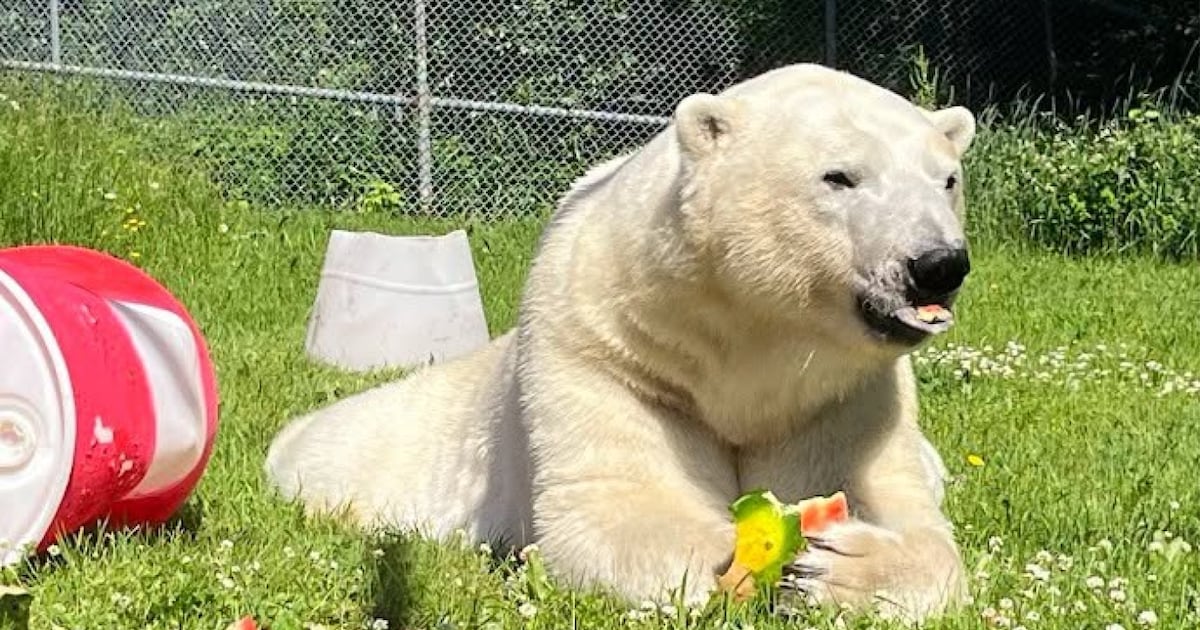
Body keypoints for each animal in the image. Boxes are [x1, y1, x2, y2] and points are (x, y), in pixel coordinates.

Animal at [265, 62, 977, 622]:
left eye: (947, 180)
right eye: (839, 176)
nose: (937, 264)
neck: (747, 346)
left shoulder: (842, 395)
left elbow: (906, 517)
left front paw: (839, 565)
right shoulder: (607, 351)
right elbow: (610, 502)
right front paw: (731, 556)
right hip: (380, 451)